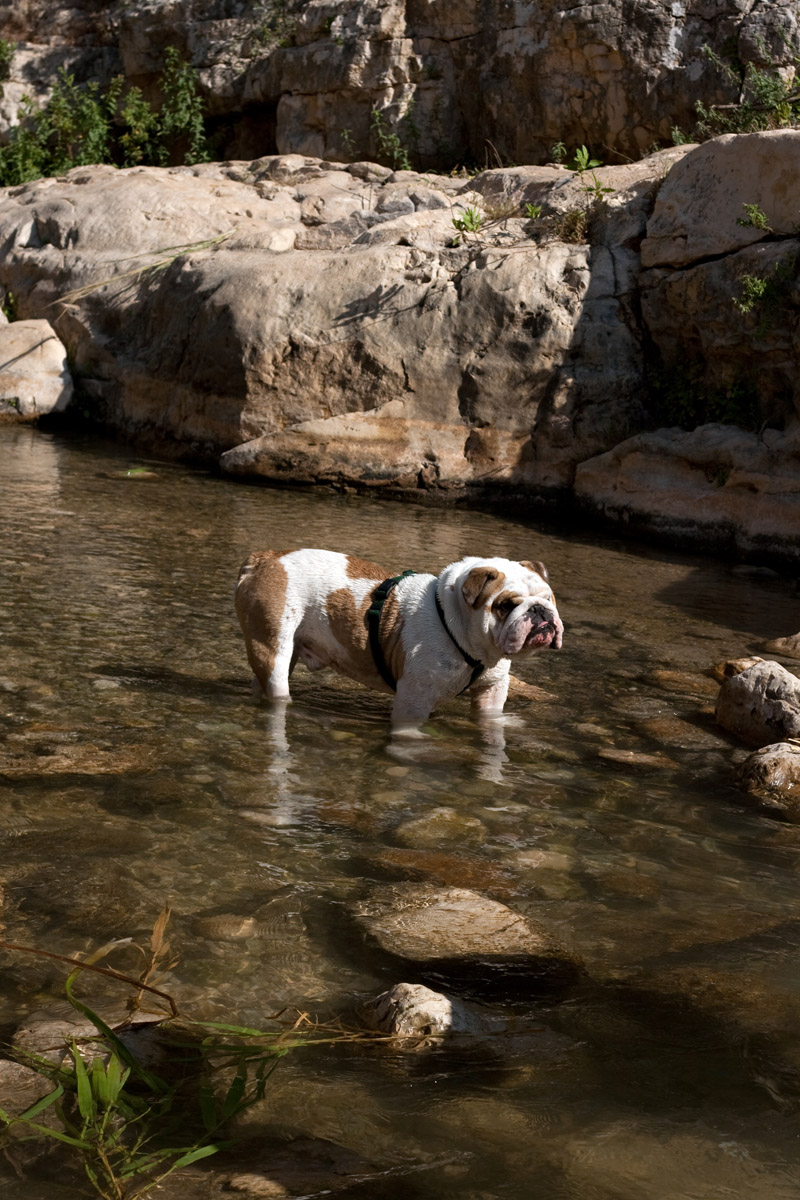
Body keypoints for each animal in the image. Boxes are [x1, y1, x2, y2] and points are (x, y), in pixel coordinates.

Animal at [236, 547, 563, 729]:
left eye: (548, 596)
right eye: (505, 605)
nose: (539, 610)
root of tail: (265, 558)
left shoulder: (492, 690)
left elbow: (490, 723)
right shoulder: (413, 701)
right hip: (274, 648)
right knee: (277, 686)